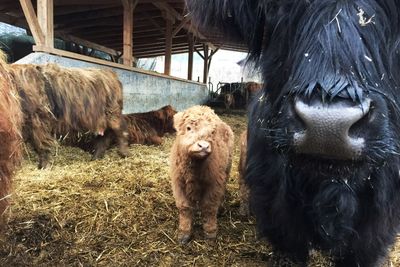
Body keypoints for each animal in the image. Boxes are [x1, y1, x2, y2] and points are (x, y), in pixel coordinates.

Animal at [170, 105, 234, 244]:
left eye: (212, 132)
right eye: (189, 128)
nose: (203, 146)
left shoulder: (214, 184)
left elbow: (209, 207)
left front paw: (210, 231)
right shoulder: (179, 184)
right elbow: (184, 208)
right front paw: (184, 233)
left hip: (227, 170)